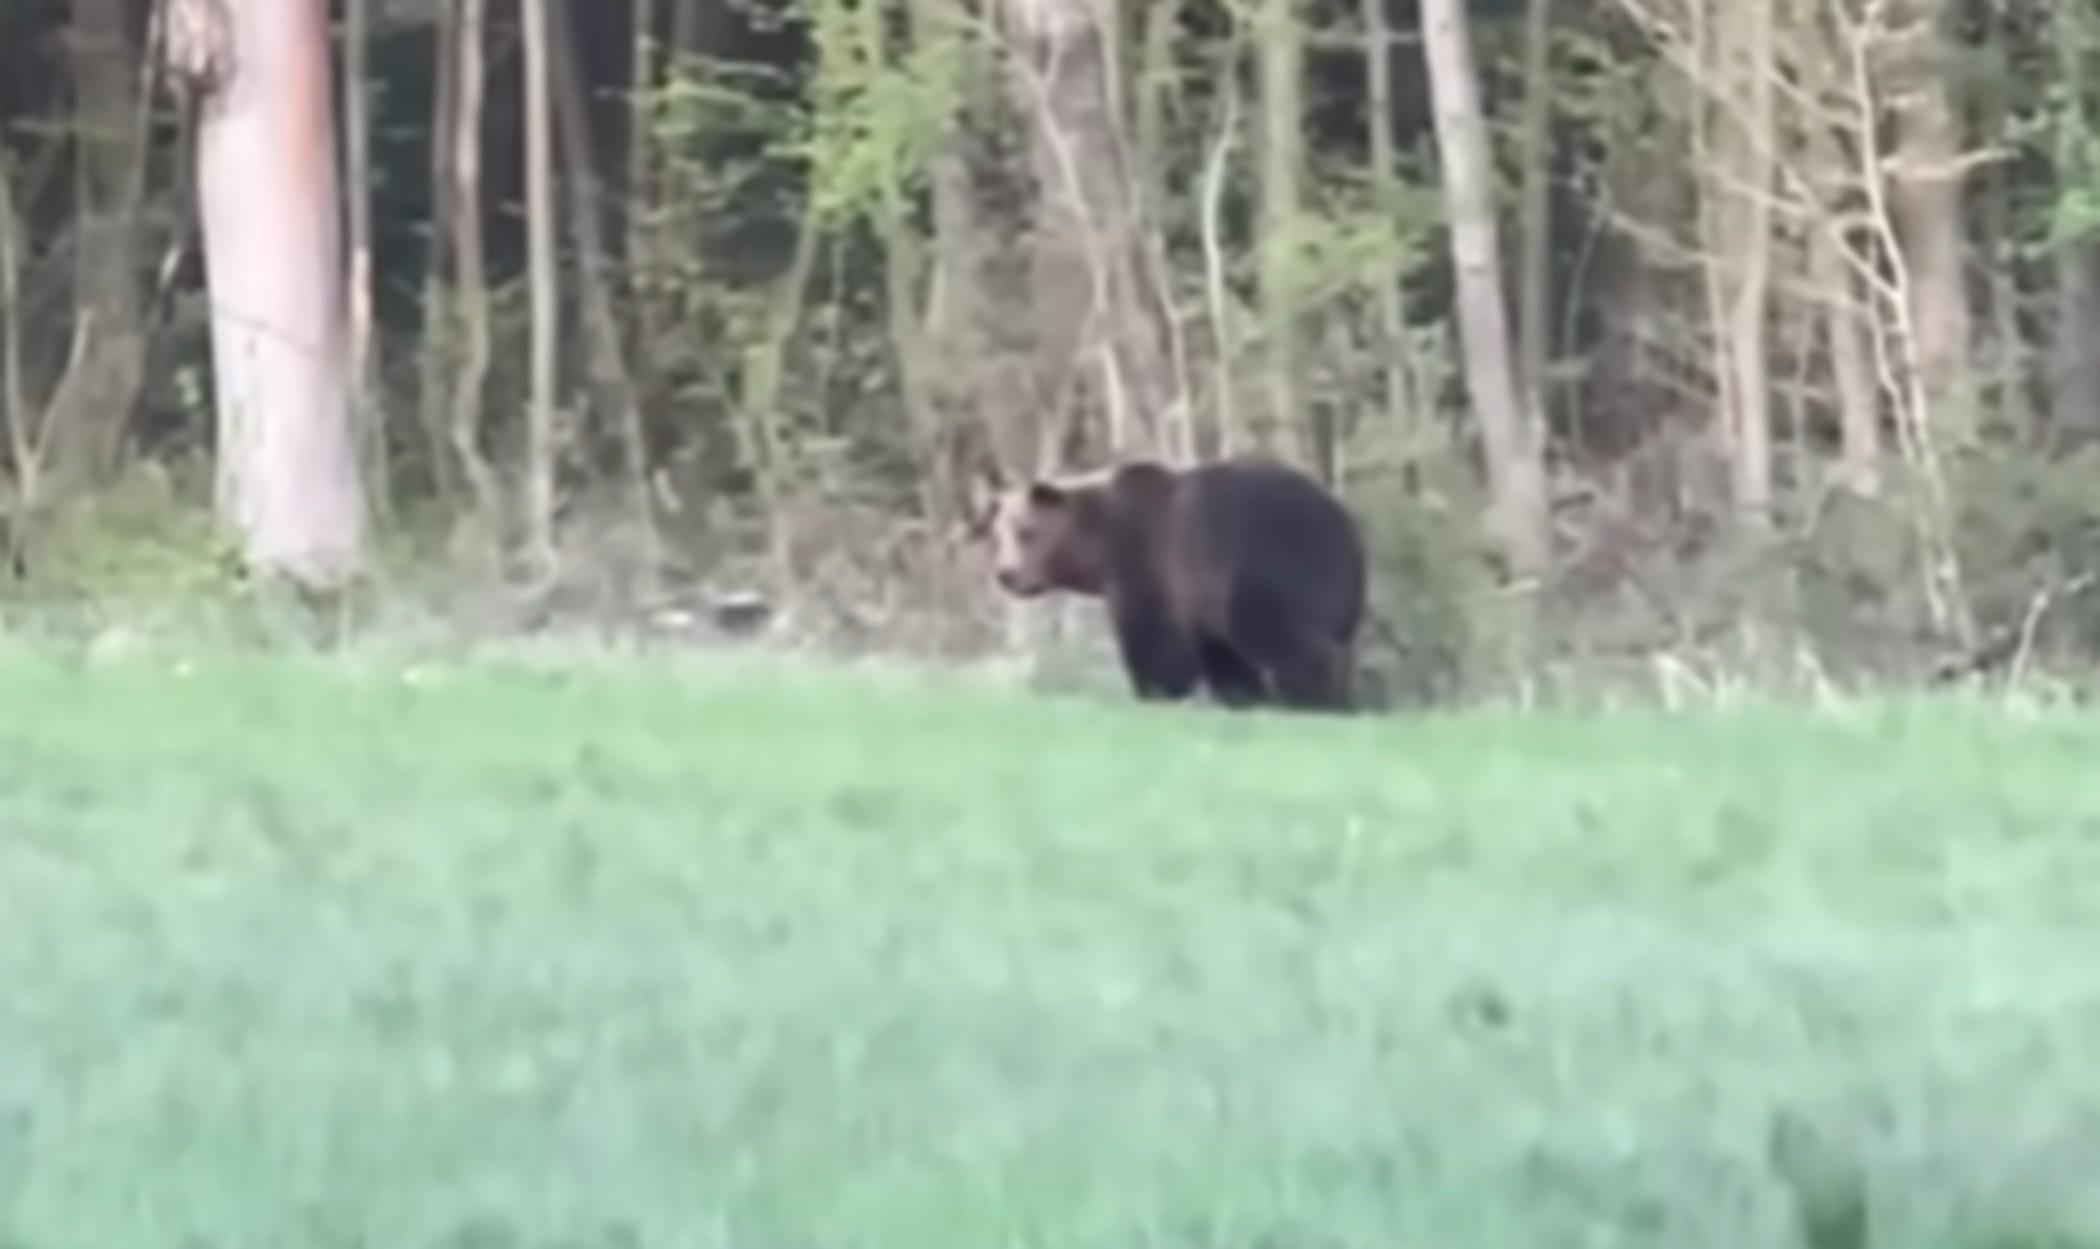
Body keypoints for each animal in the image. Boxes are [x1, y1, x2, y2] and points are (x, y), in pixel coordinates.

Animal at [965, 457, 1360, 713]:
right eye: (997, 536)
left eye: (1026, 532)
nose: (1007, 574)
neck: (1097, 546)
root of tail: (1341, 521)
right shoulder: (1200, 600)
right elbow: (1221, 654)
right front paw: (1238, 695)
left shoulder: (1150, 561)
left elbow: (1153, 636)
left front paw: (1155, 690)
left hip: (1261, 564)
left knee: (1275, 630)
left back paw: (1312, 696)